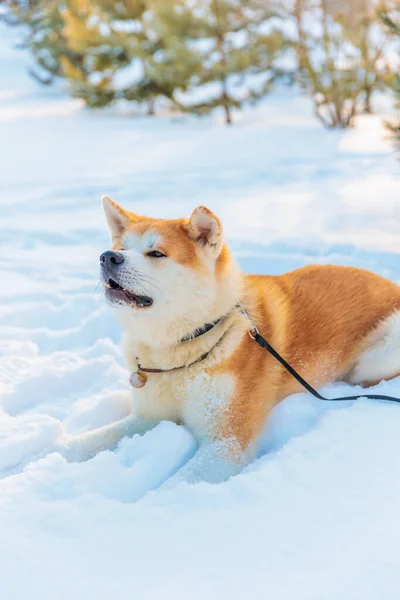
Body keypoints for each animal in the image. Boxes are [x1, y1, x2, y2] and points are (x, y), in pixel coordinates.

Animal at [60, 198, 400, 488]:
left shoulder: (227, 443)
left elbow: (177, 486)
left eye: (156, 254)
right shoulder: (148, 416)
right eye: (122, 247)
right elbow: (90, 440)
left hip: (378, 357)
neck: (179, 350)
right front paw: (53, 454)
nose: (107, 256)